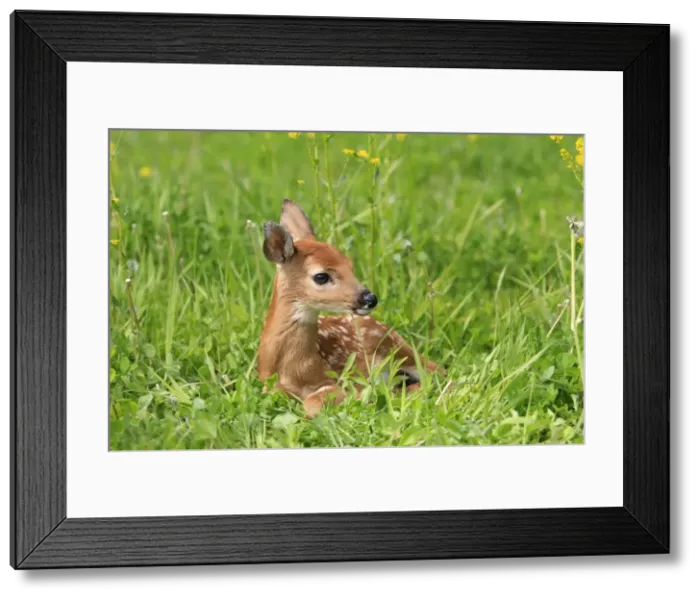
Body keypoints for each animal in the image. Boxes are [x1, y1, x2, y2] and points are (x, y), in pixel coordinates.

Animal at [256, 199, 445, 417]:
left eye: (350, 265)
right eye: (321, 276)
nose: (370, 298)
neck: (290, 369)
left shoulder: (335, 379)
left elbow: (313, 403)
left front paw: (362, 396)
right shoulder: (269, 386)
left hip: (397, 346)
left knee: (439, 372)